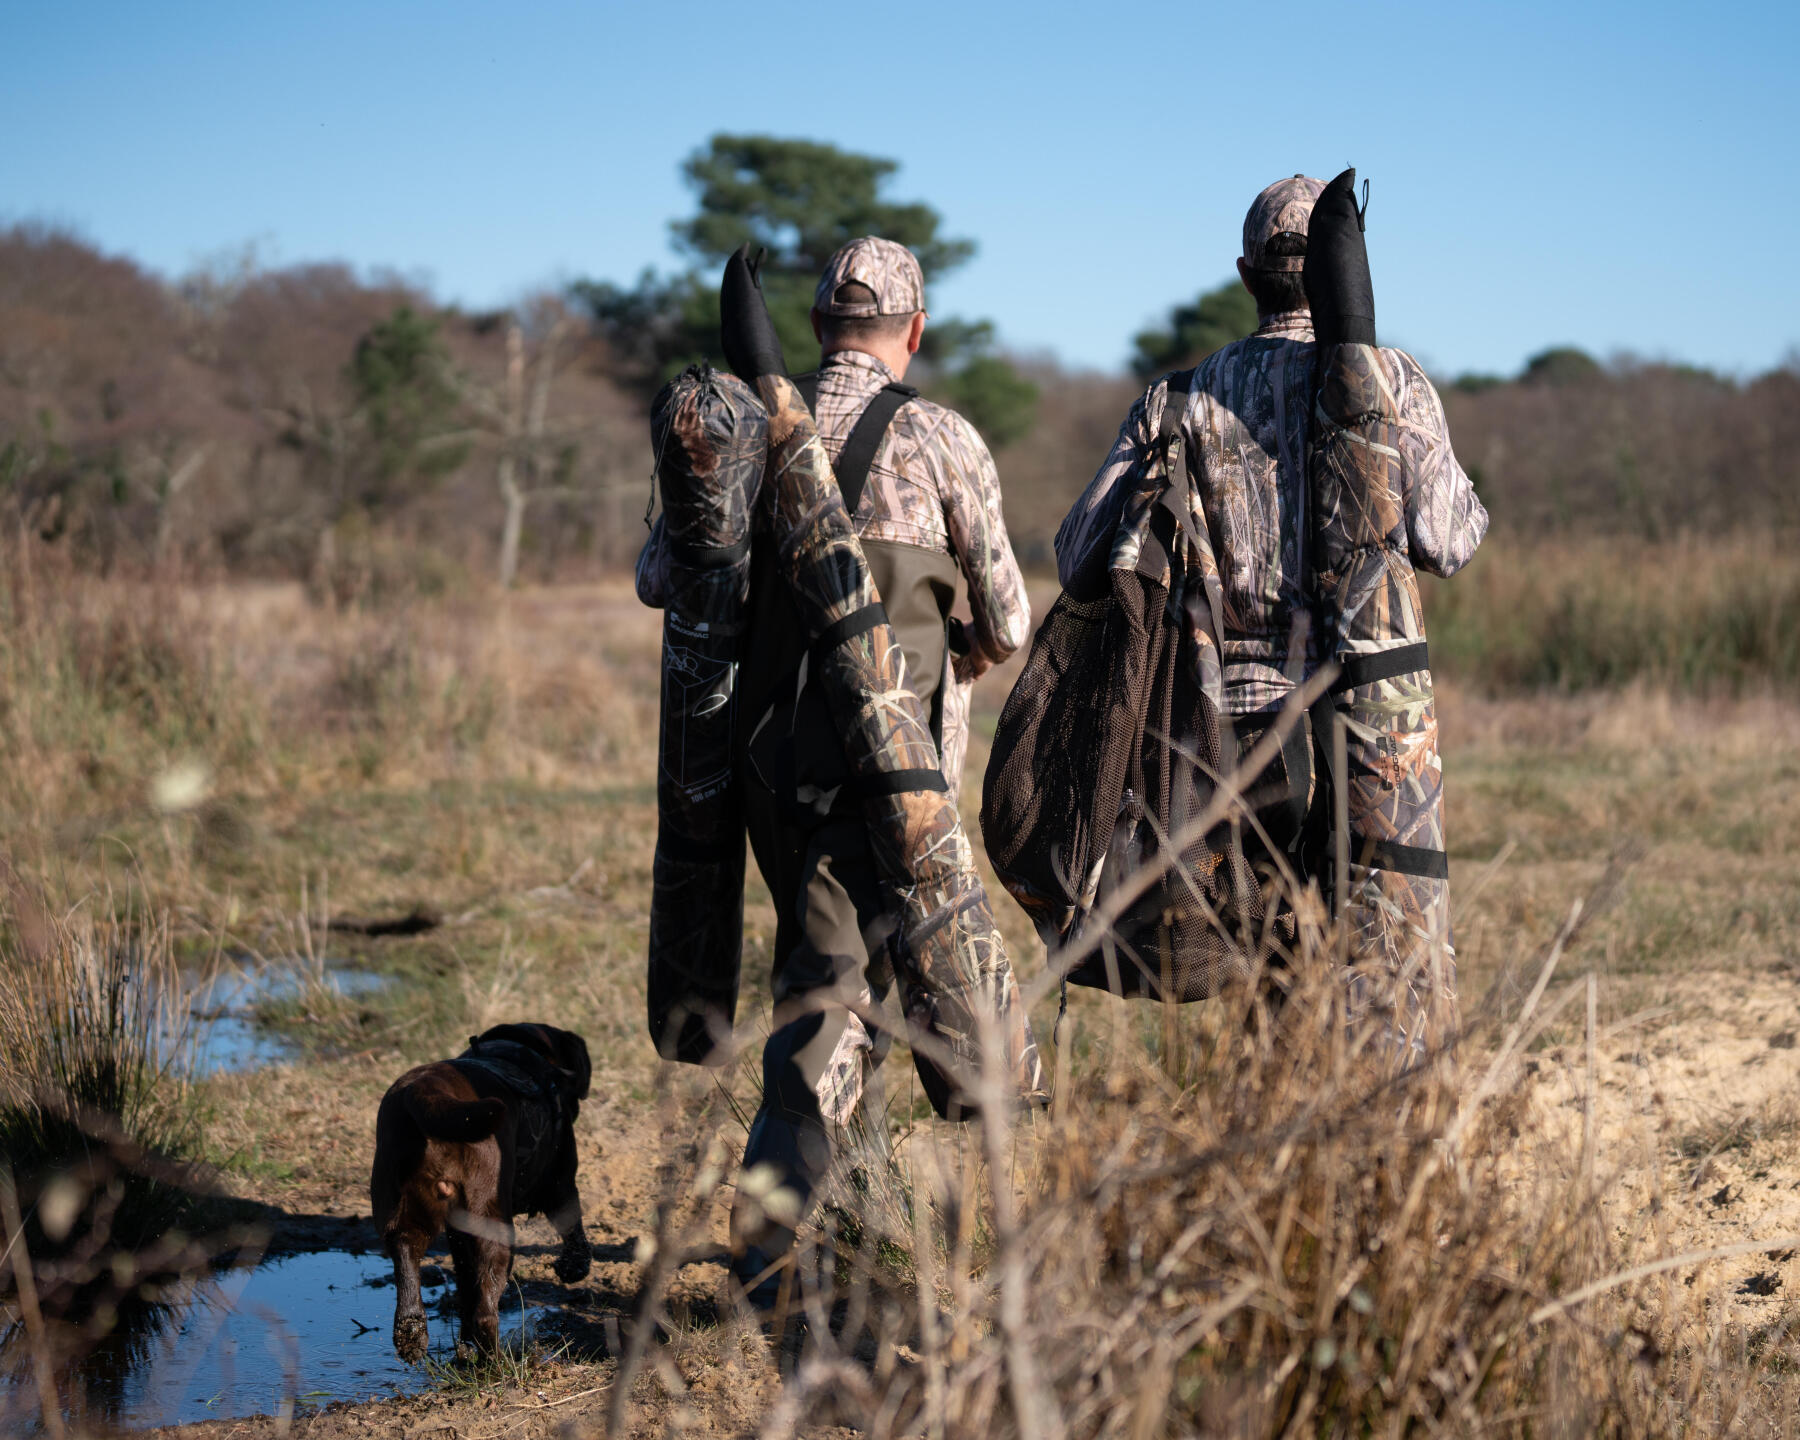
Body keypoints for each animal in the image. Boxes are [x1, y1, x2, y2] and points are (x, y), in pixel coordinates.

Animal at [369, 1022, 594, 1360]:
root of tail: (425, 1091)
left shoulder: (457, 1231)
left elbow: (465, 1285)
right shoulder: (560, 1181)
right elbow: (572, 1225)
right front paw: (573, 1267)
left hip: (403, 1199)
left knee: (406, 1248)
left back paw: (413, 1332)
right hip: (491, 1216)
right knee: (486, 1308)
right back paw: (498, 1362)